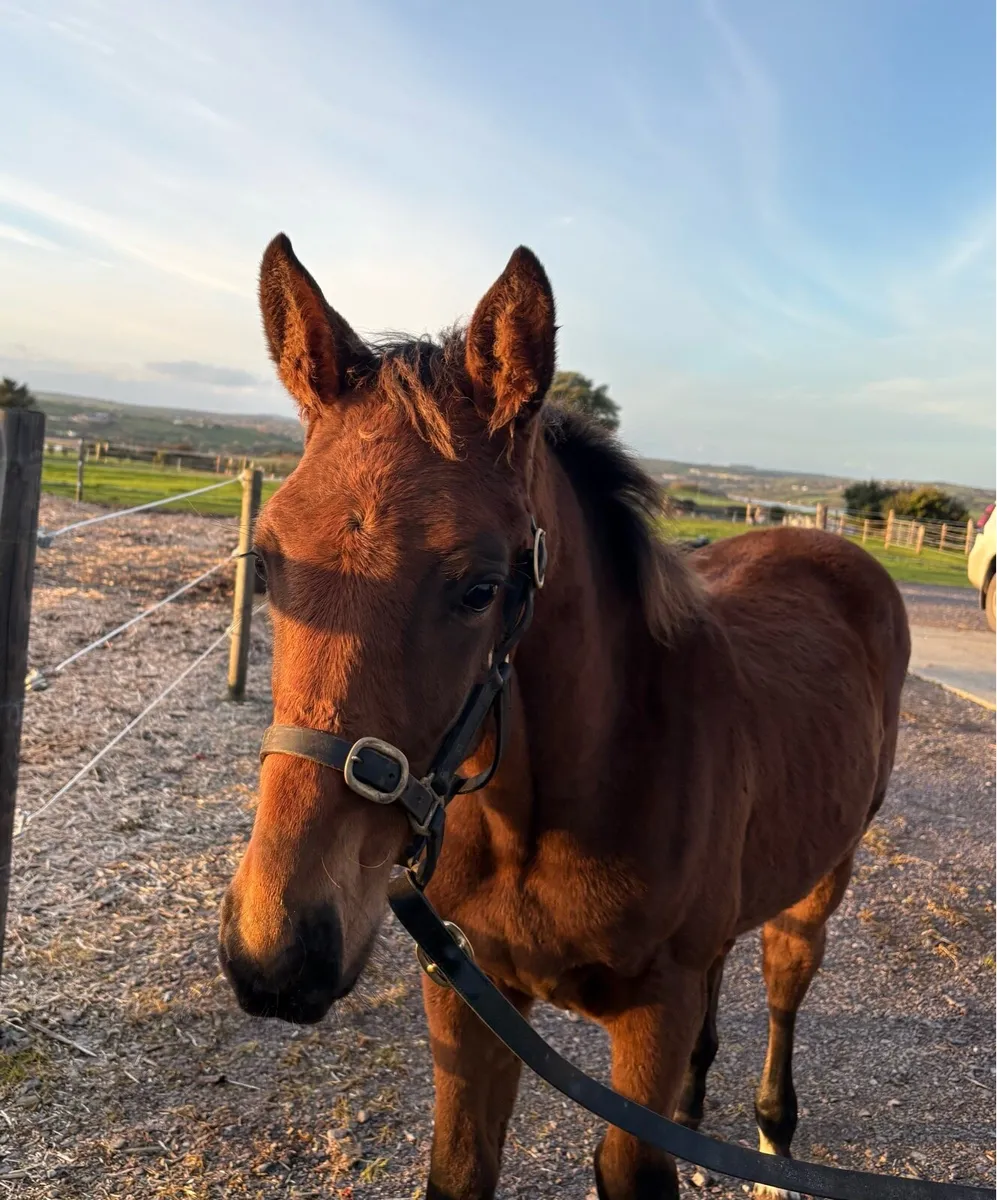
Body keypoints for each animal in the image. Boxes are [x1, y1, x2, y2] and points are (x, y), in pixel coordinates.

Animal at [219, 235, 911, 1200]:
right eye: (268, 562)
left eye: (480, 588)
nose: (277, 952)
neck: (542, 815)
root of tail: (830, 543)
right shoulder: (466, 992)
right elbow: (460, 1169)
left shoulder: (651, 1016)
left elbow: (630, 1167)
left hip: (821, 884)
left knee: (782, 985)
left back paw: (774, 1141)